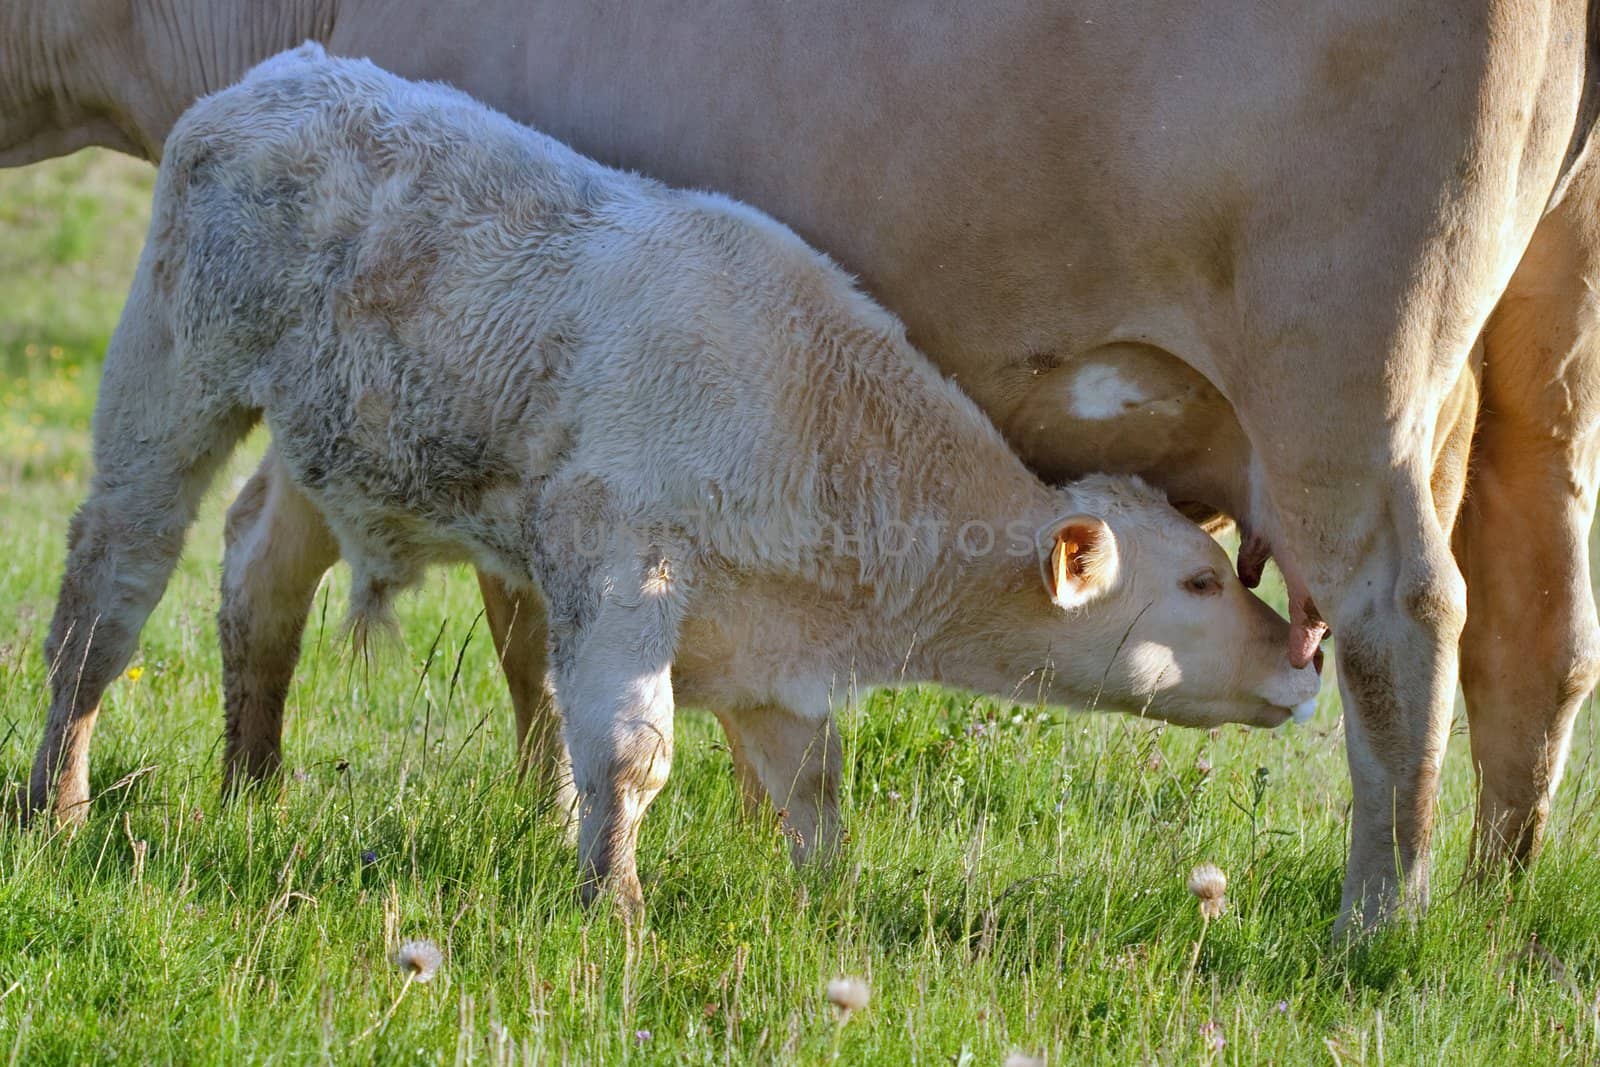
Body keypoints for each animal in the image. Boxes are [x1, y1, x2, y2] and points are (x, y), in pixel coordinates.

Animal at [9, 2, 1600, 934]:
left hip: (1348, 395)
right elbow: (600, 707)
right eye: (1199, 580)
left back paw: (1381, 916)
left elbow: (560, 676)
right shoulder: (573, 522)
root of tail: (280, 81)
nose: (1285, 660)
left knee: (1414, 621)